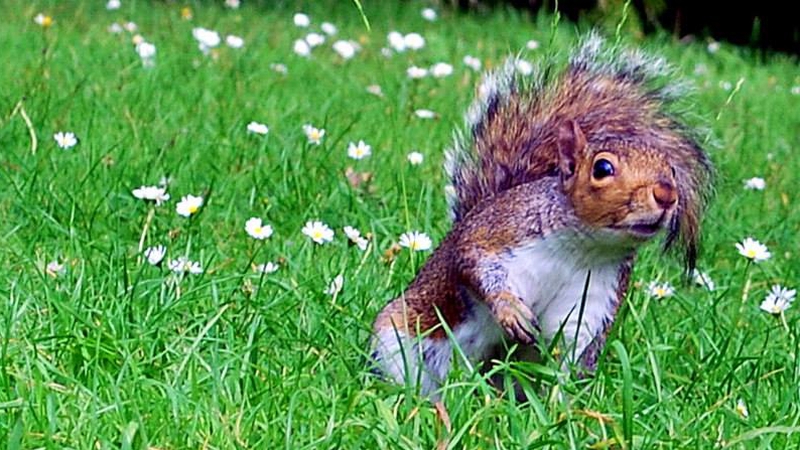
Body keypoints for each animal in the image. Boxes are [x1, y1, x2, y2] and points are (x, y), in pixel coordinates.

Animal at [370, 33, 713, 397]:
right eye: (603, 168)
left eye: (671, 171)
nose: (667, 194)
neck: (584, 246)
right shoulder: (500, 229)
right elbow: (475, 262)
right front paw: (510, 310)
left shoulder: (595, 294)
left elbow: (572, 347)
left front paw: (561, 404)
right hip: (397, 337)